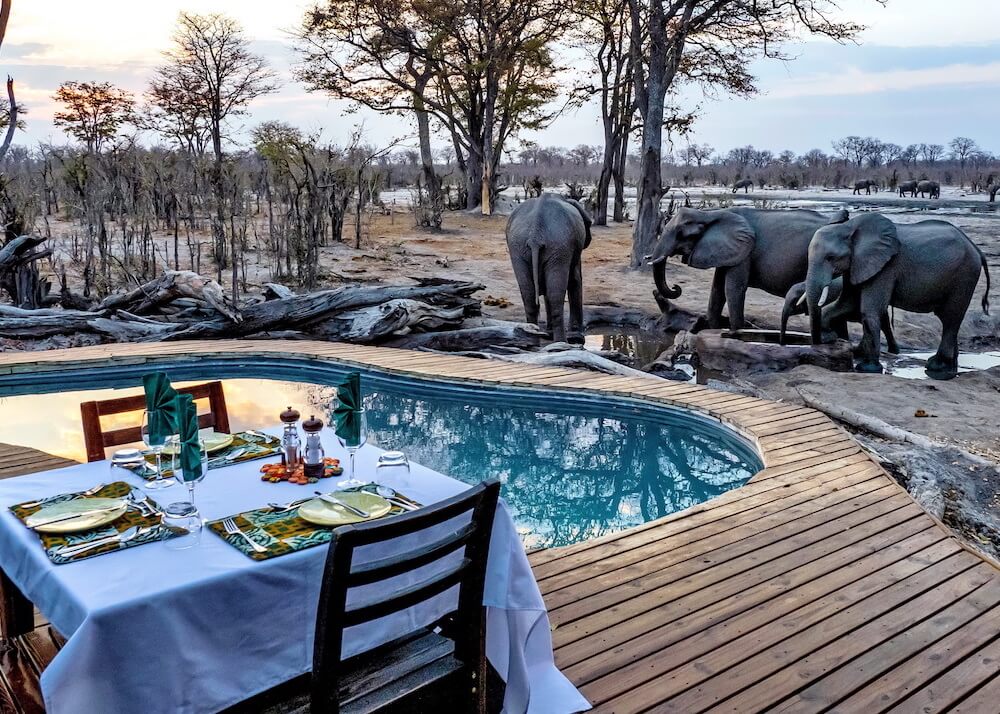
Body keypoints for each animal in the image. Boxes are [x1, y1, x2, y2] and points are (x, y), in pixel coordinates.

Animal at [506, 193, 592, 343]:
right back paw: (562, 342)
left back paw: (532, 341)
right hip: (558, 246)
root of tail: (535, 235)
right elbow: (575, 279)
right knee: (555, 295)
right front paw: (576, 337)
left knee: (528, 294)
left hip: (517, 247)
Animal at [649, 206, 850, 331]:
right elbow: (717, 290)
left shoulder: (745, 251)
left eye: (681, 234)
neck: (710, 214)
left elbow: (732, 289)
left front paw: (736, 333)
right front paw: (712, 328)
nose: (676, 287)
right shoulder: (729, 251)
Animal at [803, 213, 991, 376]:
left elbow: (869, 310)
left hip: (965, 276)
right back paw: (951, 366)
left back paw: (936, 366)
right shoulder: (857, 265)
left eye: (830, 257)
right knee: (949, 320)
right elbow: (847, 304)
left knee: (951, 319)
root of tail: (976, 249)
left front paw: (867, 368)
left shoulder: (886, 267)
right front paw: (832, 338)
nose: (818, 343)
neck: (850, 227)